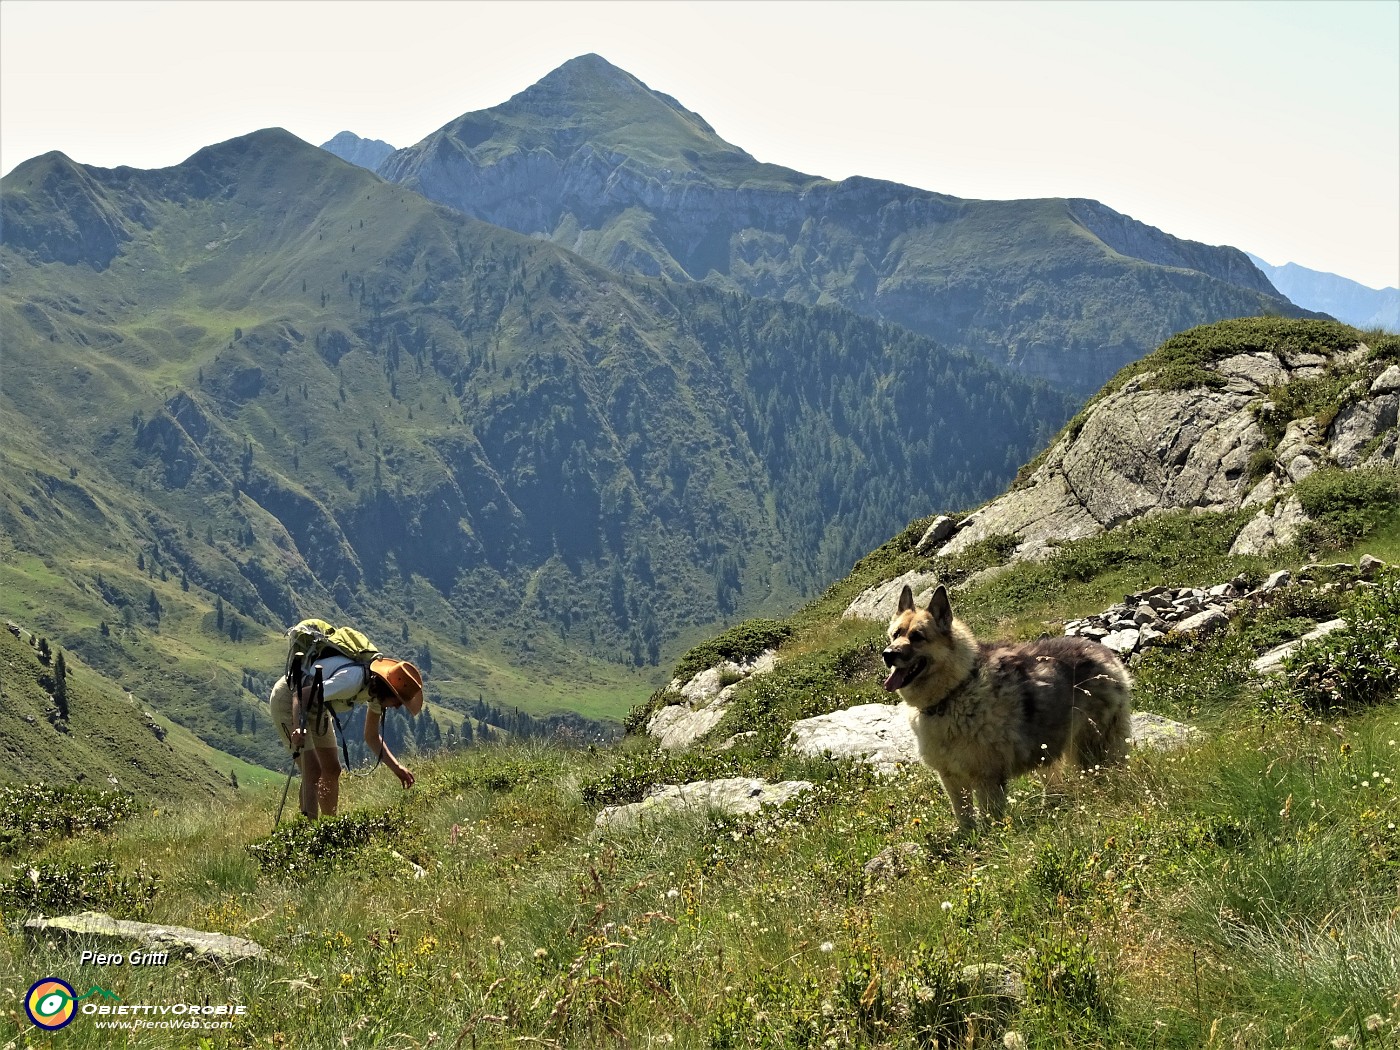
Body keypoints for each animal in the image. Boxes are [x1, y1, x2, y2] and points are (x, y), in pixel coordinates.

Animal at [884, 588, 1136, 828]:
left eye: (917, 637)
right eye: (896, 634)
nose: (888, 655)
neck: (954, 691)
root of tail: (1104, 652)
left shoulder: (986, 777)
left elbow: (989, 818)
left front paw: (991, 838)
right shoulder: (951, 778)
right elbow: (964, 817)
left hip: (1091, 747)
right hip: (1048, 749)